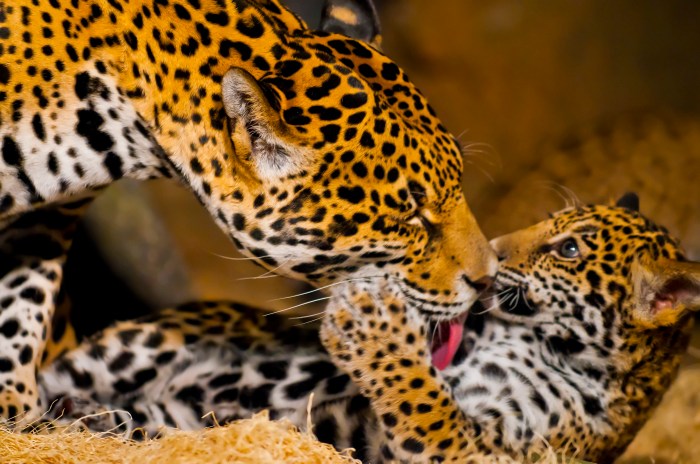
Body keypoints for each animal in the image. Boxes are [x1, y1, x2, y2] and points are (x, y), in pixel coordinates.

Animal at [37, 193, 700, 463]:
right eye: (550, 225)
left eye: (569, 249)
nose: (494, 254)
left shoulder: (485, 453)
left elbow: (431, 406)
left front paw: (371, 322)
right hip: (137, 343)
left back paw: (94, 421)